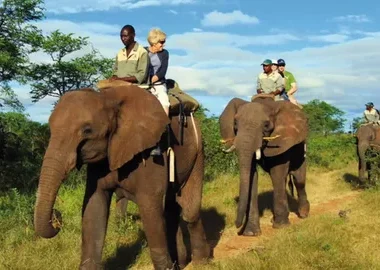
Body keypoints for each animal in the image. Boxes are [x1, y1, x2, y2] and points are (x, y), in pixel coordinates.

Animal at [32, 85, 211, 270]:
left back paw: (201, 262)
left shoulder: (151, 154)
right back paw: (181, 263)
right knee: (171, 209)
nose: (57, 218)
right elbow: (94, 206)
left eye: (87, 130)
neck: (108, 99)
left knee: (189, 211)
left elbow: (150, 207)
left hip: (197, 151)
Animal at [218, 95, 310, 236]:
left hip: (301, 149)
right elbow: (252, 175)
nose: (237, 225)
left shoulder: (282, 141)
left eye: (266, 125)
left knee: (298, 179)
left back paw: (304, 214)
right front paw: (250, 233)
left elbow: (277, 172)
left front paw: (281, 226)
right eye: (235, 123)